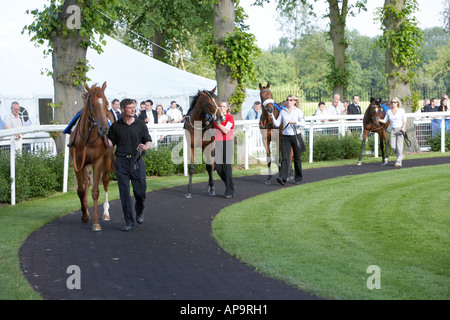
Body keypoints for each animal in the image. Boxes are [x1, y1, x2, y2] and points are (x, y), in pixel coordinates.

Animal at [69, 82, 114, 231]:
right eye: (93, 105)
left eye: (106, 103)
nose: (105, 129)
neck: (86, 138)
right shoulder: (78, 162)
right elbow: (81, 190)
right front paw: (84, 215)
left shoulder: (98, 161)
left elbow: (95, 191)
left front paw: (95, 222)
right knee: (87, 181)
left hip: (107, 159)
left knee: (105, 180)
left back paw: (106, 213)